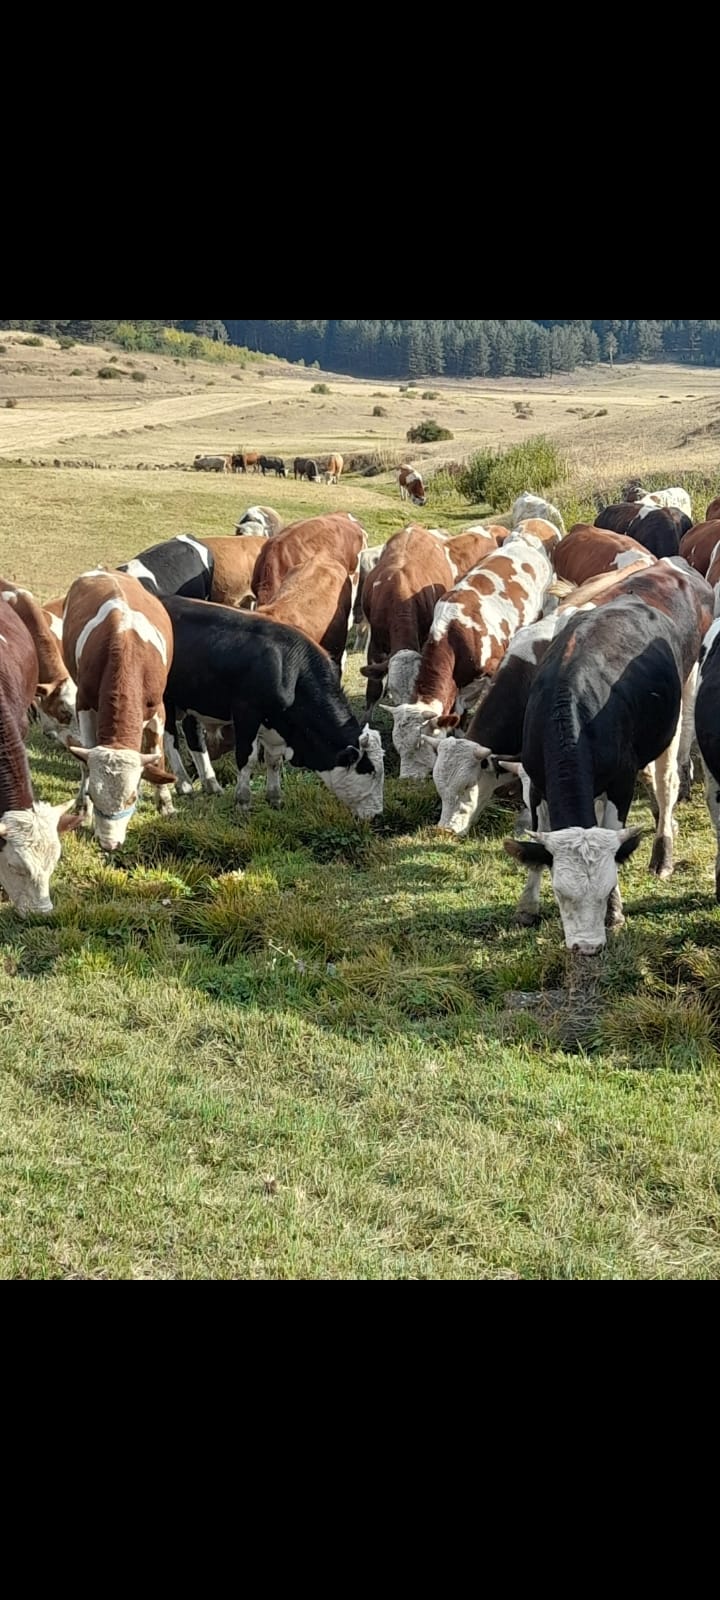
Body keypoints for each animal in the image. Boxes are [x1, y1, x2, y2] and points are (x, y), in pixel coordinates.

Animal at [160, 601, 385, 825]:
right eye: (369, 771)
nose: (377, 814)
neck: (289, 671)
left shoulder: (275, 725)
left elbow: (274, 760)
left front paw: (275, 798)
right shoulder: (246, 713)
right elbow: (247, 758)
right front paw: (243, 802)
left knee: (193, 735)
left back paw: (210, 783)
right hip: (166, 701)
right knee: (170, 739)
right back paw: (184, 784)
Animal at [499, 566, 707, 947]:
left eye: (608, 884)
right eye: (560, 893)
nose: (588, 947)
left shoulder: (621, 783)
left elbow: (614, 832)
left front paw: (614, 913)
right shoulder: (535, 781)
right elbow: (538, 841)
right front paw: (527, 907)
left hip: (682, 701)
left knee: (667, 784)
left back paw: (663, 856)